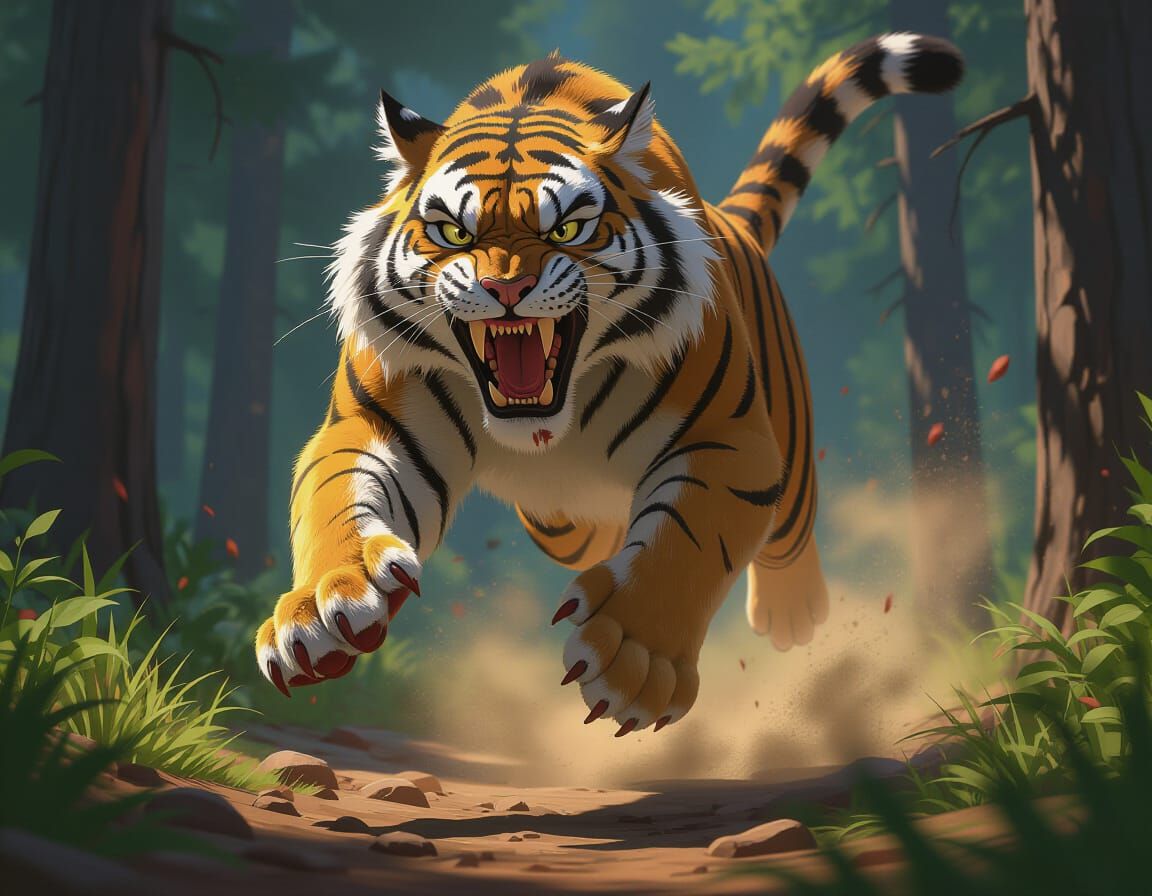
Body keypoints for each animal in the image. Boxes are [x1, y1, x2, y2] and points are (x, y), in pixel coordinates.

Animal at [255, 33, 963, 735]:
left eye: (566, 228)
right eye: (454, 231)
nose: (505, 288)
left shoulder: (727, 441)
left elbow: (690, 537)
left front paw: (633, 657)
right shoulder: (369, 426)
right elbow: (334, 500)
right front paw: (326, 606)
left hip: (786, 474)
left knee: (787, 536)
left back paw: (792, 610)